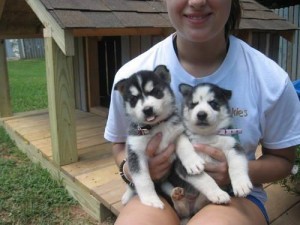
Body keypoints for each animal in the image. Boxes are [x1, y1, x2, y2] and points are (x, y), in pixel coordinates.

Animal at [114, 65, 184, 209]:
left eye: (156, 92)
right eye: (134, 99)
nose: (147, 109)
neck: (156, 127)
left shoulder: (177, 131)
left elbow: (185, 145)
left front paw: (193, 161)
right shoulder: (135, 153)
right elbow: (143, 180)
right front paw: (150, 199)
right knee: (132, 185)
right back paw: (127, 196)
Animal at [169, 82, 253, 220]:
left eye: (213, 103)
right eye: (194, 104)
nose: (201, 114)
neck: (206, 136)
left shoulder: (234, 146)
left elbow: (236, 165)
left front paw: (241, 184)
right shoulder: (181, 166)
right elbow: (206, 179)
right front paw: (218, 193)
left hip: (197, 205)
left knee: (196, 206)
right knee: (182, 212)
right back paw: (177, 196)